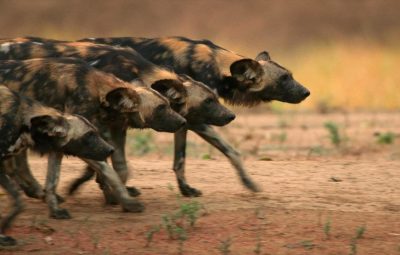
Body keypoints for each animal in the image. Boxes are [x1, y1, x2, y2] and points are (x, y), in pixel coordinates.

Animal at [0, 39, 238, 201]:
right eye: (208, 101)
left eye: (215, 97)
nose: (231, 115)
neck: (135, 74)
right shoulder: (98, 127)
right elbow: (106, 163)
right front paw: (107, 191)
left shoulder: (115, 127)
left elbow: (119, 165)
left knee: (17, 161)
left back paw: (32, 190)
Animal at [0, 57, 186, 219]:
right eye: (161, 108)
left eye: (168, 104)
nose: (183, 121)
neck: (101, 96)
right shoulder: (83, 141)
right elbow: (109, 171)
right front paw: (125, 201)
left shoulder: (82, 139)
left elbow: (119, 168)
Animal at [0, 85, 113, 245]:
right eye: (89, 135)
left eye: (96, 132)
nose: (111, 150)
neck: (24, 125)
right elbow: (19, 198)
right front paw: (3, 236)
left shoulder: (55, 151)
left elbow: (49, 186)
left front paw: (55, 211)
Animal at [79, 35, 310, 196]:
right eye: (284, 78)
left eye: (290, 75)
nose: (307, 92)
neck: (217, 65)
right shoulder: (196, 120)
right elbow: (226, 151)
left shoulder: (185, 120)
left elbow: (184, 160)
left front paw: (186, 189)